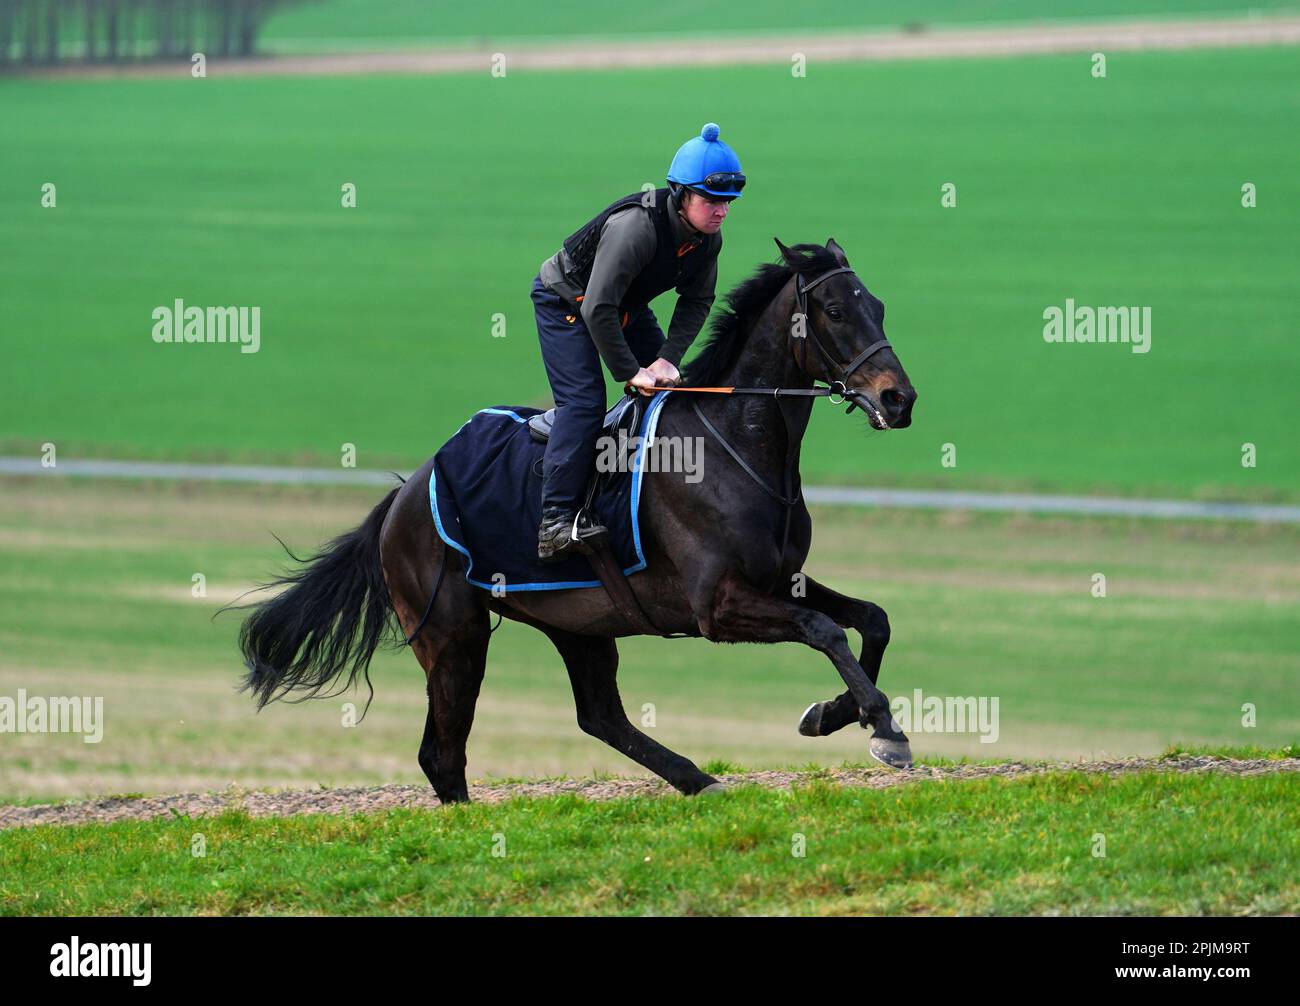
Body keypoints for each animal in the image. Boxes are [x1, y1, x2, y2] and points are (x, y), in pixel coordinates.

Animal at [239, 236, 920, 805]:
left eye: (880, 306)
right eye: (834, 310)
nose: (899, 399)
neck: (733, 445)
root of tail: (406, 493)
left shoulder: (780, 579)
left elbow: (872, 620)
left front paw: (837, 713)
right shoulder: (717, 605)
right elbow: (824, 630)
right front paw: (883, 727)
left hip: (577, 620)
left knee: (598, 716)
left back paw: (698, 780)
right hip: (452, 634)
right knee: (443, 752)